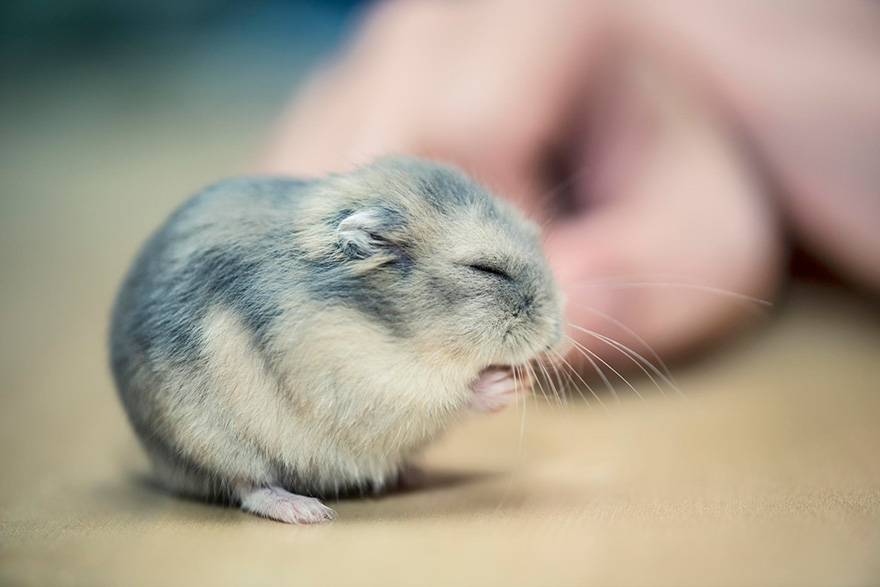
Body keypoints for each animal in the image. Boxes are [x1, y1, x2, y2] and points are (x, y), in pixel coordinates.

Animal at [110, 156, 563, 523]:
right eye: (486, 270)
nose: (556, 337)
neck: (393, 331)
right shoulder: (357, 380)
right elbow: (441, 394)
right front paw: (511, 382)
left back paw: (410, 474)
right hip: (212, 441)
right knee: (246, 485)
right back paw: (308, 511)